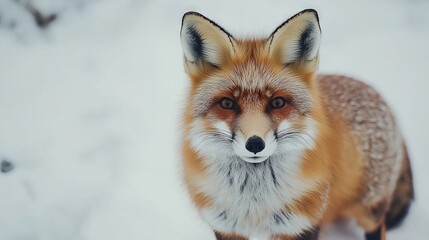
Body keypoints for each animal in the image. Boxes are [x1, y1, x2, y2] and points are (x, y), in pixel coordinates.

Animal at [178, 9, 412, 240]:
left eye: (277, 103)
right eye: (227, 103)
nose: (255, 144)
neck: (254, 203)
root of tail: (374, 91)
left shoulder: (302, 225)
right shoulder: (226, 227)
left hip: (368, 209)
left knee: (378, 226)